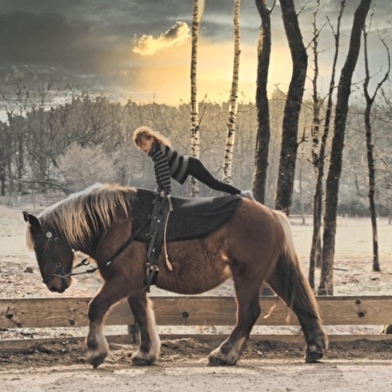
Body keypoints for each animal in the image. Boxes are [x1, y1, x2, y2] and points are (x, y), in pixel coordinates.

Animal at [22, 184, 328, 368]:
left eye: (41, 246)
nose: (53, 284)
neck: (115, 224)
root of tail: (273, 214)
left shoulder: (122, 281)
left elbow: (96, 308)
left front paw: (97, 352)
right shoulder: (135, 286)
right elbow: (142, 316)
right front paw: (146, 353)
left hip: (248, 276)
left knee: (249, 313)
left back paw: (225, 353)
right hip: (272, 272)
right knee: (301, 304)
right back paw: (314, 348)